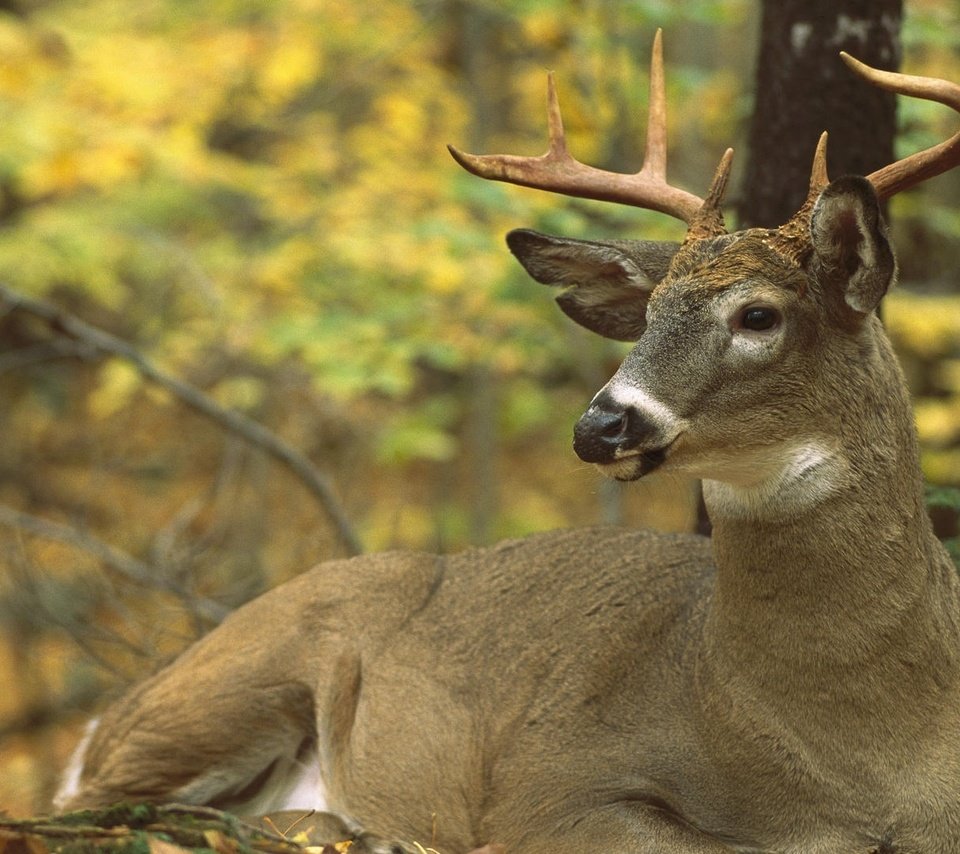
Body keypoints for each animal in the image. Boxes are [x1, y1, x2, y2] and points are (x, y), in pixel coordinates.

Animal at [56, 31, 960, 854]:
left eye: (759, 315)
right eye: (650, 312)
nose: (600, 425)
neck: (859, 759)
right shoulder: (552, 781)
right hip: (237, 676)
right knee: (95, 807)